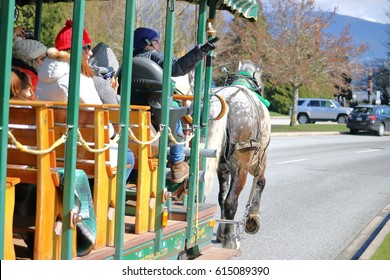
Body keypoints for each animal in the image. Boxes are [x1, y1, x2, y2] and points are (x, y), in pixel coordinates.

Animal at [204, 60, 272, 248]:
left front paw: (221, 233)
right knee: (231, 201)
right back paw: (230, 241)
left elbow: (220, 197)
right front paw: (253, 219)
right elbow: (260, 182)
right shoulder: (260, 157)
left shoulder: (222, 168)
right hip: (242, 165)